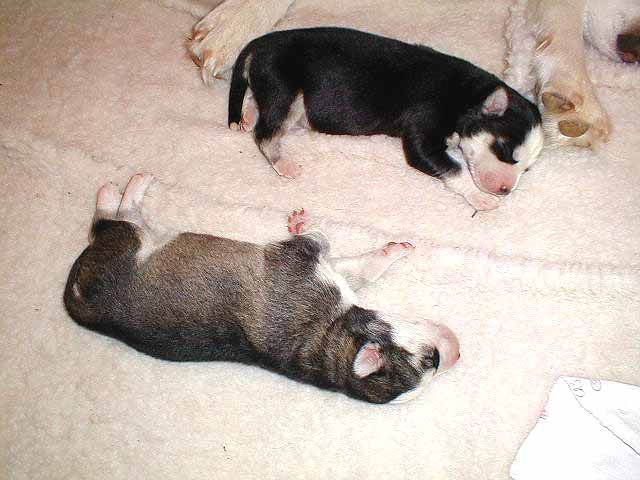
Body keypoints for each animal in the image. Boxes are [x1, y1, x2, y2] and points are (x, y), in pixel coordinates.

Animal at [63, 174, 460, 404]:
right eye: (431, 360)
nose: (457, 353)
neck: (330, 337)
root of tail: (80, 306)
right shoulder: (313, 266)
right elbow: (337, 250)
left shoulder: (318, 273)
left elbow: (344, 255)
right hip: (124, 245)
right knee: (108, 220)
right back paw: (126, 186)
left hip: (126, 245)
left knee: (114, 220)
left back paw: (129, 186)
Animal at [228, 27, 544, 211]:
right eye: (503, 151)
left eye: (527, 169)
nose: (505, 190)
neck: (466, 96)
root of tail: (258, 44)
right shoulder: (422, 137)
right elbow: (455, 169)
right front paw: (482, 198)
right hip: (285, 89)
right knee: (266, 133)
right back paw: (283, 162)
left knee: (258, 105)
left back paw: (248, 114)